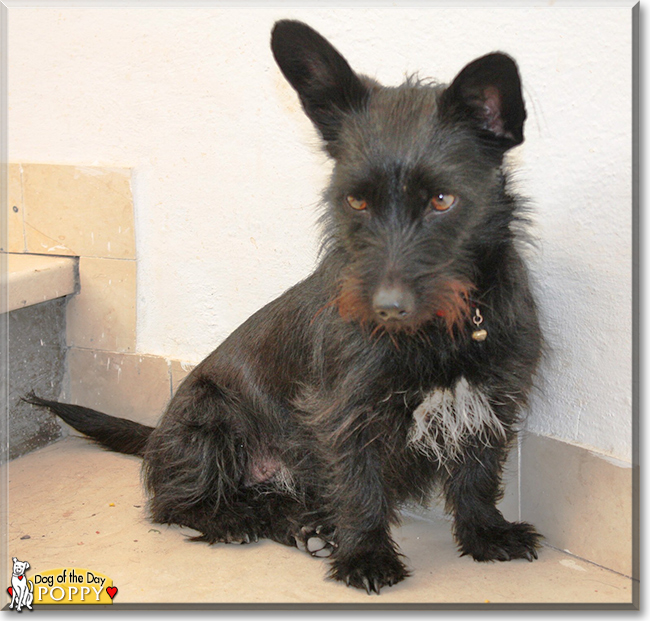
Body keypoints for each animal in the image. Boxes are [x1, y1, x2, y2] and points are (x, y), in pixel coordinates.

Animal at [27, 18, 540, 592]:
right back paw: (238, 520)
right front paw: (367, 556)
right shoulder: (346, 412)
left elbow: (478, 474)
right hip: (209, 420)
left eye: (443, 200)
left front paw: (486, 534)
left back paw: (305, 527)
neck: (438, 331)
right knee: (174, 504)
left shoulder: (491, 398)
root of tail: (158, 434)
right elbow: (360, 486)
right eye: (355, 200)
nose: (385, 308)